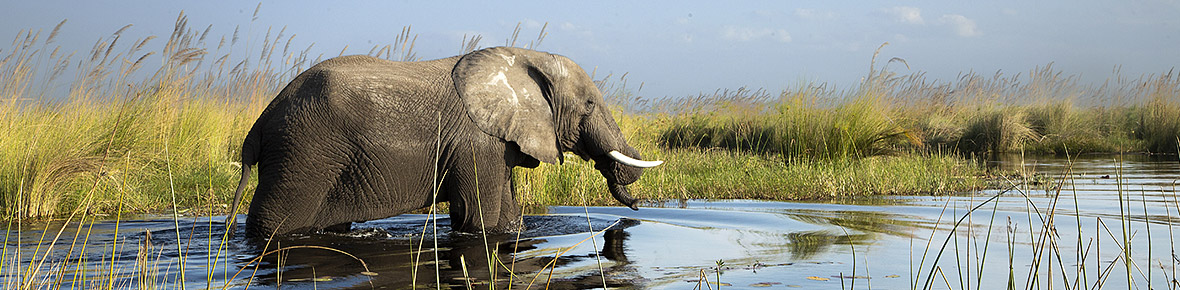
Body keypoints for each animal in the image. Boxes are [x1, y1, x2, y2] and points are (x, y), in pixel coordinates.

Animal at [224, 47, 660, 238]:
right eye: (589, 104)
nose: (638, 208)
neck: (522, 58)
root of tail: (260, 122)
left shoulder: (496, 143)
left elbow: (507, 219)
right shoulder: (476, 144)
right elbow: (479, 220)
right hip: (303, 153)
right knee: (273, 222)